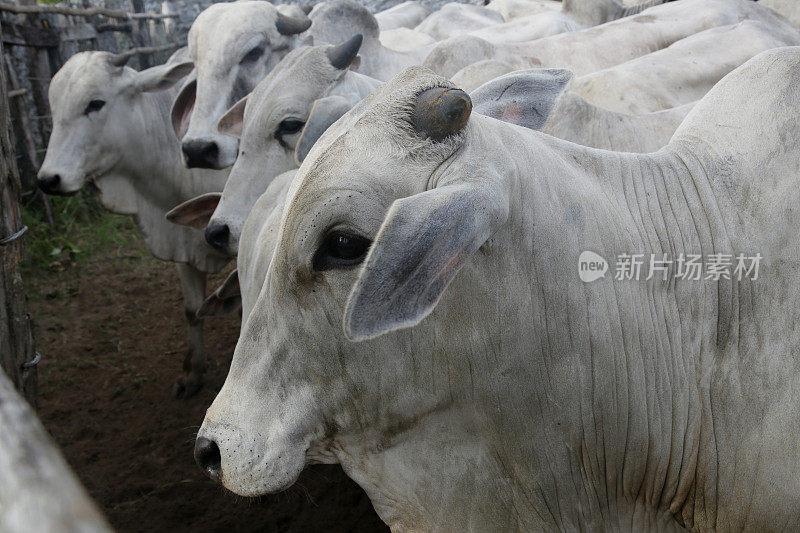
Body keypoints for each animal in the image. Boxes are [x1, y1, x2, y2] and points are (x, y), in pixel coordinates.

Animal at [38, 52, 230, 396]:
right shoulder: (182, 242)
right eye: (53, 105)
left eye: (95, 103)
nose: (49, 179)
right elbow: (192, 310)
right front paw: (192, 373)